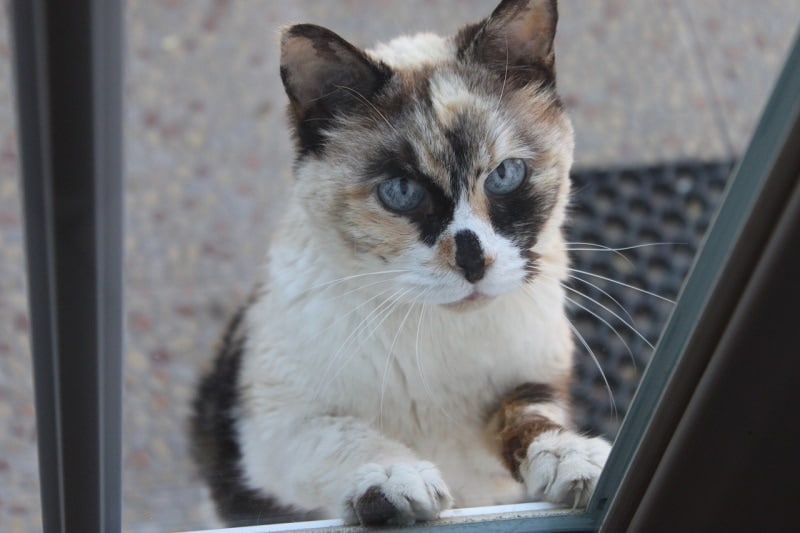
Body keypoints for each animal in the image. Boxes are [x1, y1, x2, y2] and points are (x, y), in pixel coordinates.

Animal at [191, 0, 608, 524]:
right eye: (402, 192)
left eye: (505, 175)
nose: (474, 263)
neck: (437, 336)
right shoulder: (272, 424)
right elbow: (347, 438)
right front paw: (395, 479)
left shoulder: (532, 383)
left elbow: (530, 420)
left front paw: (573, 458)